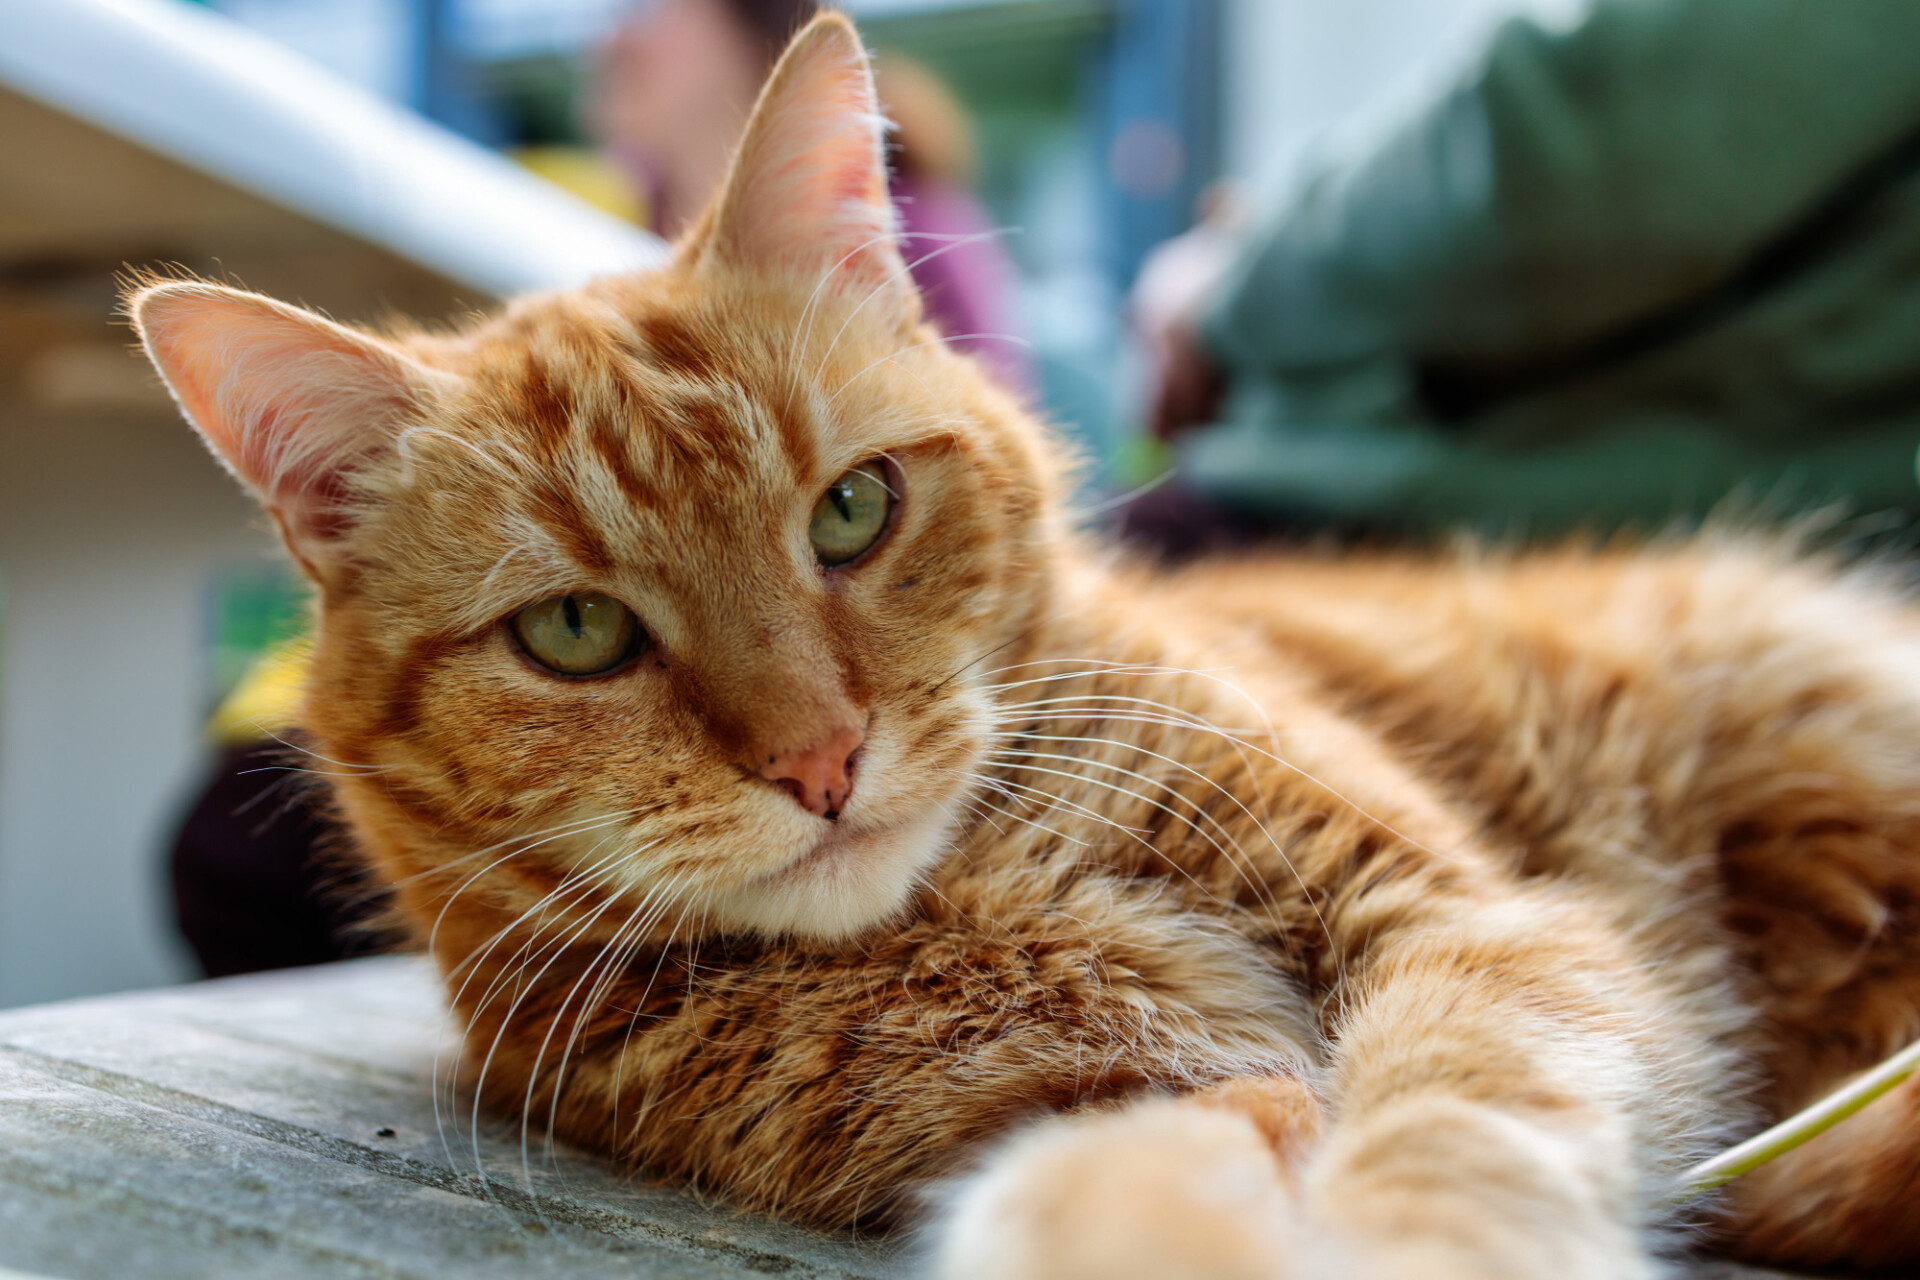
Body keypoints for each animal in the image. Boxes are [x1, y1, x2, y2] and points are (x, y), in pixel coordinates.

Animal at [127, 12, 1912, 1280]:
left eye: (852, 511)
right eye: (576, 632)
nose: (822, 760)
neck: (987, 893)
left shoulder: (1457, 923)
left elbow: (1455, 1122)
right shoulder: (1106, 1090)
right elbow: (1167, 1153)